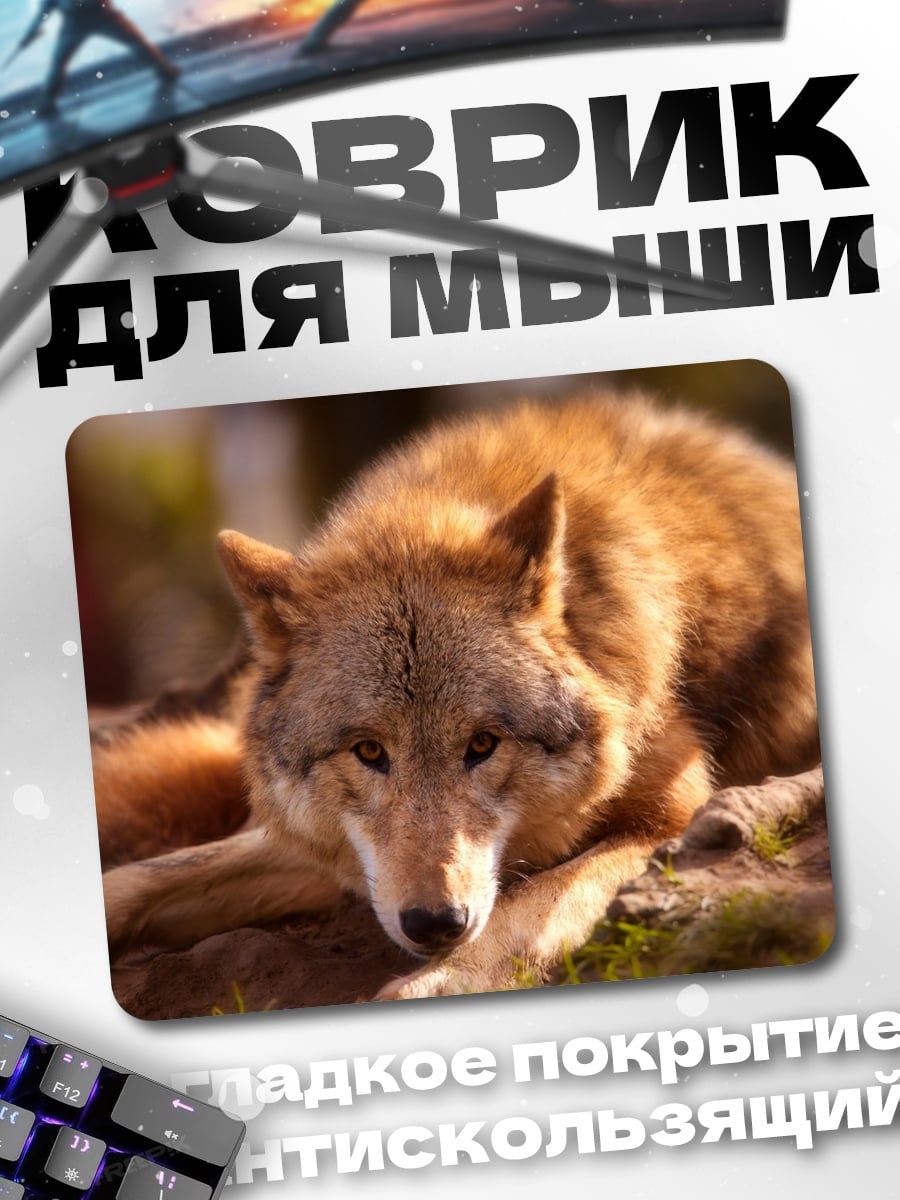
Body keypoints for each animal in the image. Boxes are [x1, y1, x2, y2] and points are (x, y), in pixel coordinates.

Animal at [96, 393, 820, 1000]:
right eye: (368, 751)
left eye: (483, 744)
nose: (434, 922)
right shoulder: (331, 851)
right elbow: (134, 880)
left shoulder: (671, 818)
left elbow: (525, 914)